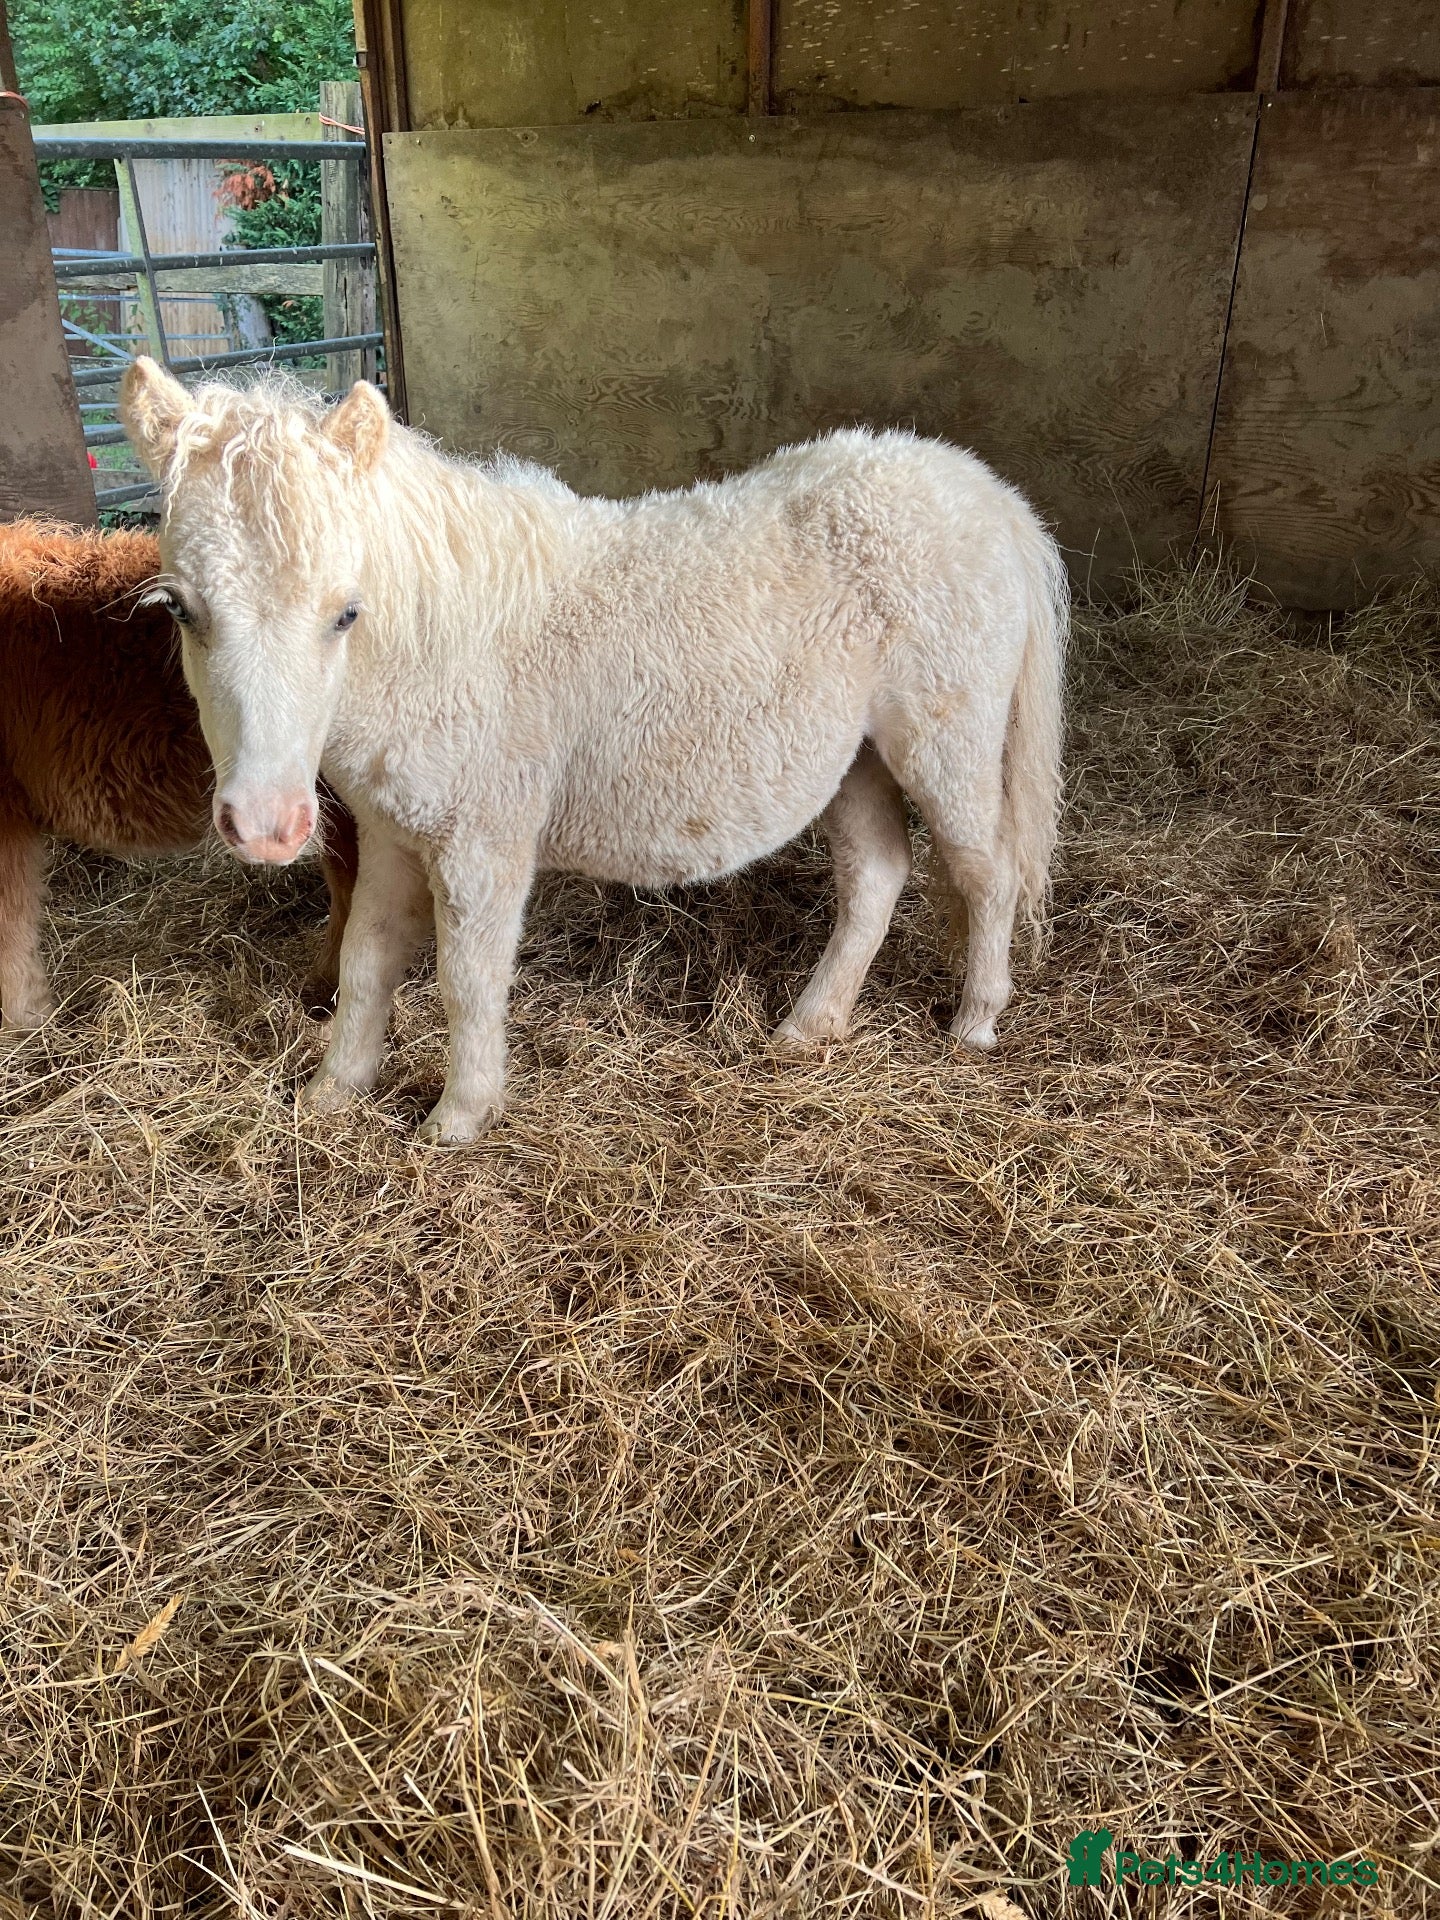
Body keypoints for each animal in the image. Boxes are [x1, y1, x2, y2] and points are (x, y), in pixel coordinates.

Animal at [120, 357, 1066, 1144]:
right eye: (180, 610)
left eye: (345, 612)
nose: (265, 826)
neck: (441, 640)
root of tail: (985, 492)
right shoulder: (393, 834)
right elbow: (367, 957)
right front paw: (331, 1092)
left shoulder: (482, 846)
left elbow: (468, 979)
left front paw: (457, 1119)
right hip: (856, 757)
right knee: (876, 873)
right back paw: (809, 1026)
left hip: (948, 740)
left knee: (986, 871)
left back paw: (976, 1020)